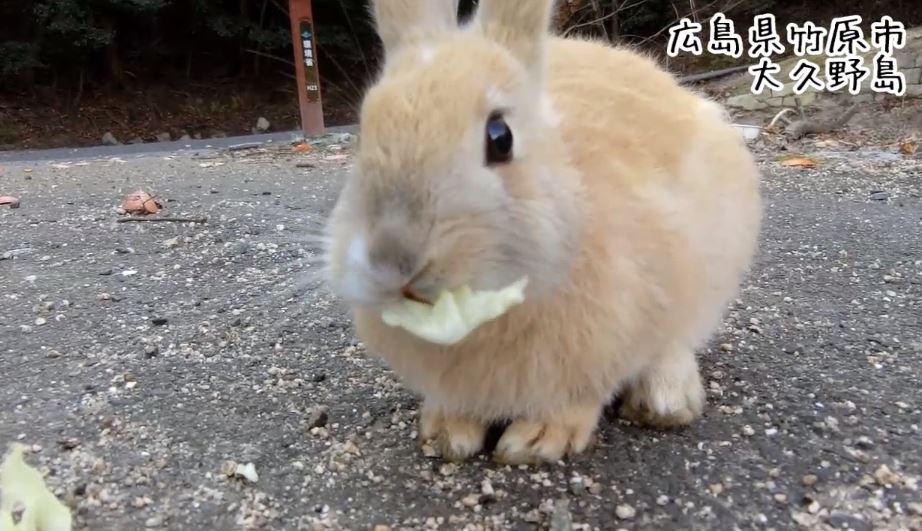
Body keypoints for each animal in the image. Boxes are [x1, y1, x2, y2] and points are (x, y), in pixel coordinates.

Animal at [320, 0, 760, 466]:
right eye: (362, 134)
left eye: (501, 137)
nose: (393, 261)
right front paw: (446, 433)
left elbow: (580, 395)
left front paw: (535, 441)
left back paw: (664, 401)